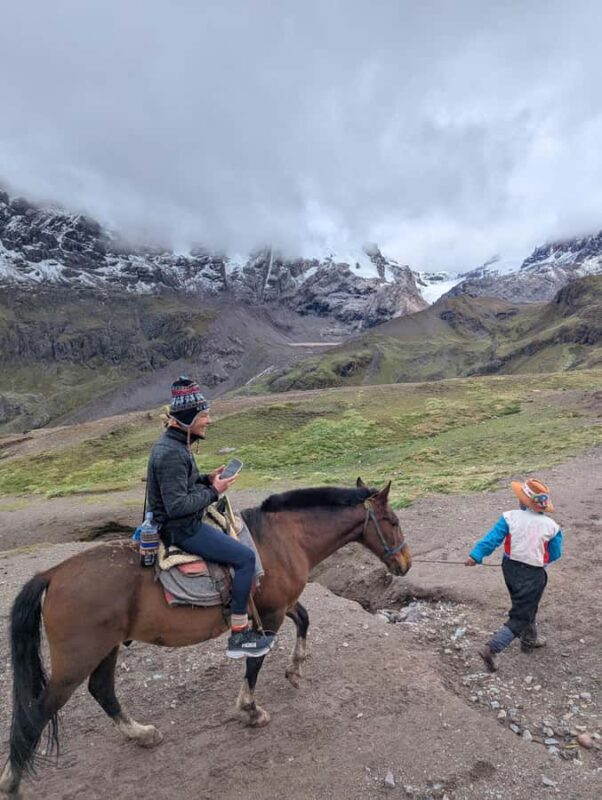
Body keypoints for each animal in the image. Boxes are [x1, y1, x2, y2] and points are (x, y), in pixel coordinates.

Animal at [0, 479, 411, 798]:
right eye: (392, 520)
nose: (405, 563)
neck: (284, 539)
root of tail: (53, 573)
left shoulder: (278, 605)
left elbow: (305, 619)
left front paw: (295, 671)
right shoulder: (271, 613)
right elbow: (255, 662)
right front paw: (250, 710)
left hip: (105, 649)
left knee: (102, 690)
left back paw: (141, 733)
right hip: (77, 658)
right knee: (37, 713)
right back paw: (12, 782)